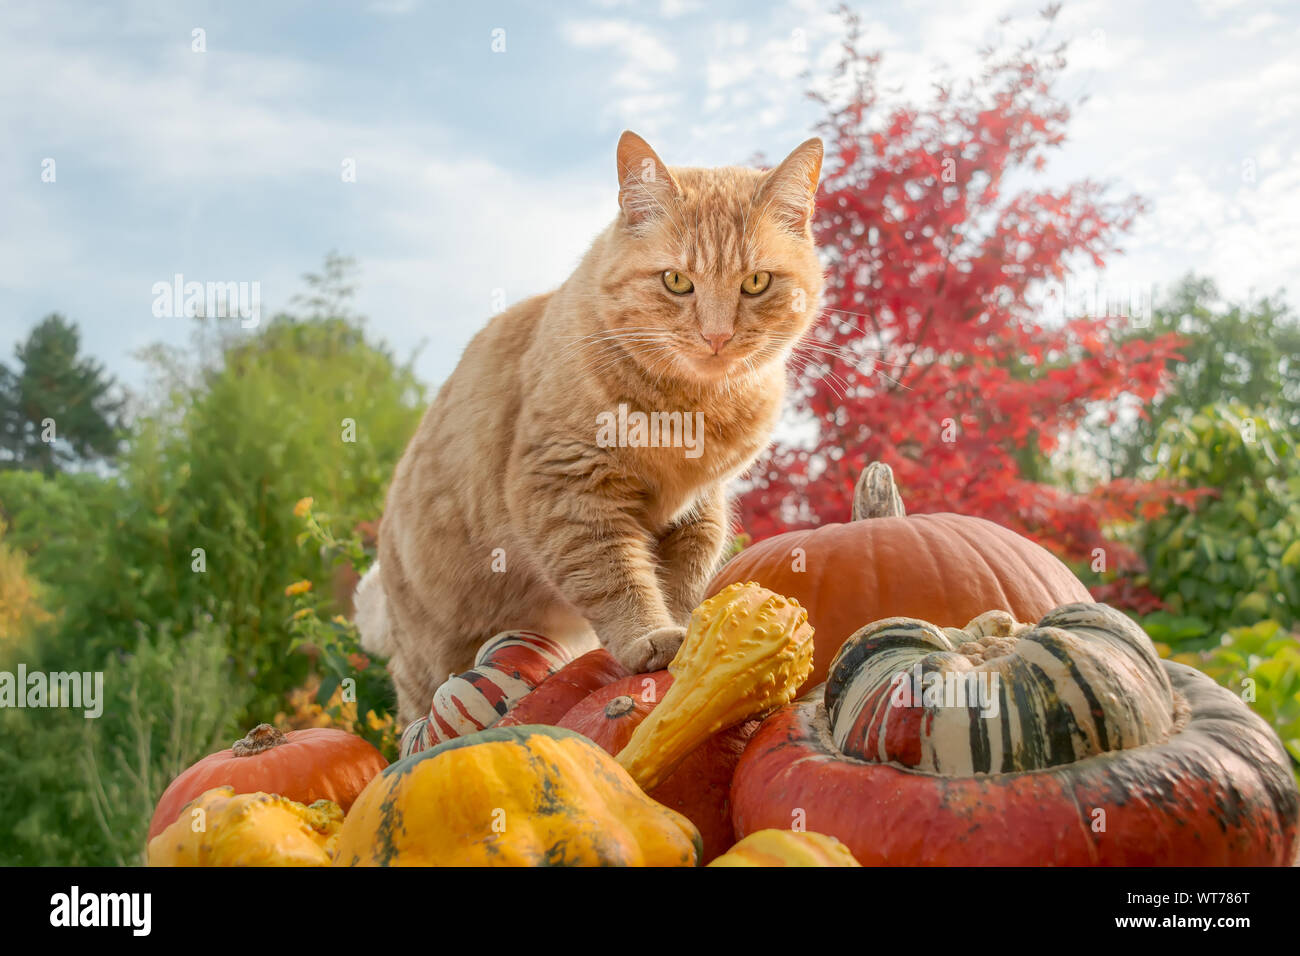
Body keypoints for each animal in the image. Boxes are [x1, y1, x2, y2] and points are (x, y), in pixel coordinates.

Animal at [356, 130, 821, 723]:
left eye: (756, 282)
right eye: (677, 281)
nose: (716, 336)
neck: (693, 410)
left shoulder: (699, 511)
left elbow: (684, 585)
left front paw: (693, 634)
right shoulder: (569, 490)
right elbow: (616, 578)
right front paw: (651, 638)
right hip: (426, 660)